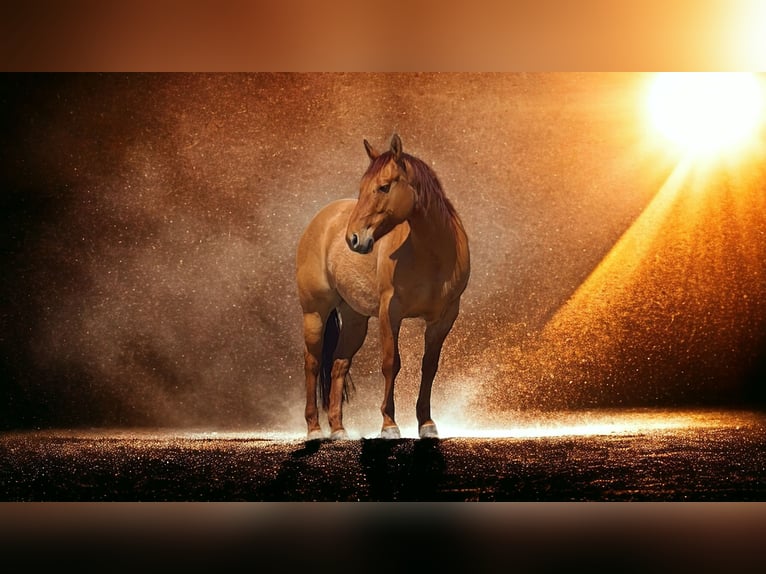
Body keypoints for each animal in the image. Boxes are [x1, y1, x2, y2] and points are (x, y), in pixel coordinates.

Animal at [295, 134, 470, 440]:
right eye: (362, 188)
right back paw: (315, 429)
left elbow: (429, 366)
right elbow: (391, 363)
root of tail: (321, 220)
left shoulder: (444, 318)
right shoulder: (391, 312)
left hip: (355, 320)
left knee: (339, 364)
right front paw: (389, 425)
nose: (353, 239)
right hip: (314, 314)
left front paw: (426, 424)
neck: (432, 256)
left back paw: (339, 430)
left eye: (384, 187)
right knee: (313, 364)